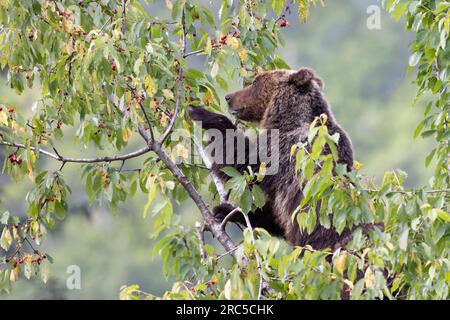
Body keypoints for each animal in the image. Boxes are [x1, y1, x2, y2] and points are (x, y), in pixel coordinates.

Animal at [188, 67, 354, 250]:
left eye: (255, 82)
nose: (228, 97)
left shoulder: (284, 151)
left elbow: (244, 162)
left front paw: (203, 114)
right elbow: (275, 215)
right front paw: (227, 210)